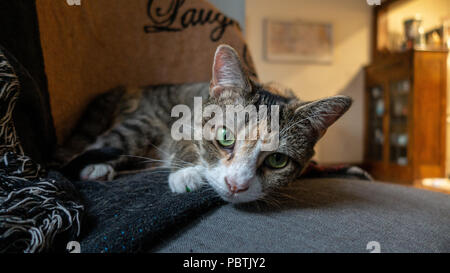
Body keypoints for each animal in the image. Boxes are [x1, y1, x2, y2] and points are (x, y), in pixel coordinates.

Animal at [63, 44, 352, 202]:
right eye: (225, 137)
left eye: (278, 160)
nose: (236, 186)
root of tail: (128, 90)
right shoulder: (185, 116)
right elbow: (184, 138)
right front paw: (186, 173)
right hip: (141, 124)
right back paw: (97, 166)